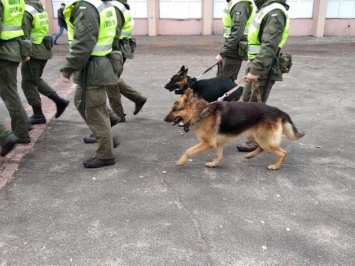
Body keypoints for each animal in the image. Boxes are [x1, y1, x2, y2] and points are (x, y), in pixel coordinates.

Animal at [164, 88, 306, 169]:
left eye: (175, 109)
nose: (165, 119)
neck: (200, 113)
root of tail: (279, 111)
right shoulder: (218, 143)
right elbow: (219, 155)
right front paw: (214, 163)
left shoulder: (208, 143)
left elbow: (188, 151)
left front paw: (181, 161)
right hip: (256, 136)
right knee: (261, 147)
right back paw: (250, 155)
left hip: (265, 140)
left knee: (282, 153)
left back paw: (275, 166)